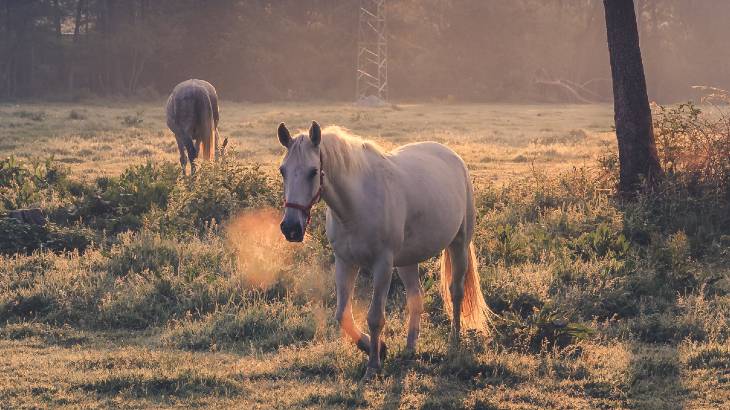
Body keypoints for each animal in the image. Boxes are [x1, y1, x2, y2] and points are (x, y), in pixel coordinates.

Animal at [276, 121, 492, 382]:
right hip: (407, 261)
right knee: (416, 298)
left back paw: (455, 341)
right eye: (283, 170)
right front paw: (378, 347)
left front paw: (373, 366)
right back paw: (410, 348)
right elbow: (342, 315)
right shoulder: (345, 262)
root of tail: (453, 157)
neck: (357, 204)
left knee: (456, 293)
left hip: (458, 245)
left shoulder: (383, 265)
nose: (291, 228)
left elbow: (375, 317)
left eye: (313, 171)